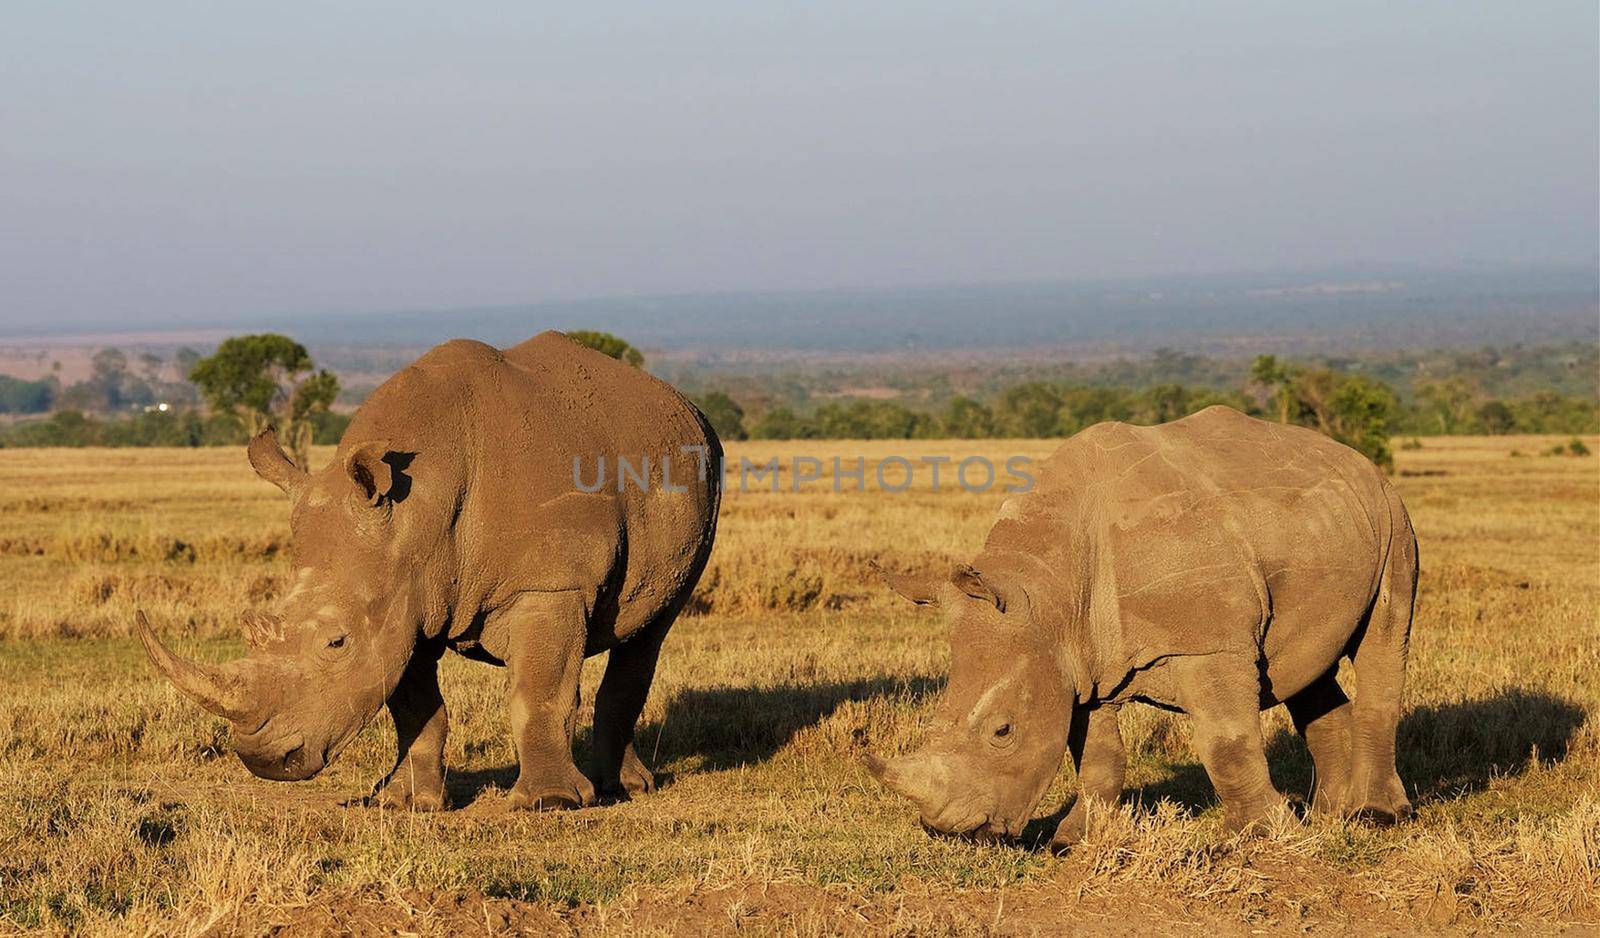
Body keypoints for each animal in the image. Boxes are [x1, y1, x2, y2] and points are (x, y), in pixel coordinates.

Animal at [137, 332, 726, 806]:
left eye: (337, 643)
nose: (264, 761)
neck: (417, 510)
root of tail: (683, 403)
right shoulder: (400, 595)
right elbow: (412, 704)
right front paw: (404, 802)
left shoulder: (550, 584)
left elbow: (538, 692)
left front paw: (549, 803)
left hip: (704, 469)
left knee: (649, 632)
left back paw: (625, 790)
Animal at [870, 404, 1420, 845]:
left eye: (1003, 731)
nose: (946, 831)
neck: (1050, 591)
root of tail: (1357, 459)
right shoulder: (1081, 660)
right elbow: (1097, 757)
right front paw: (1073, 842)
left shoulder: (1209, 645)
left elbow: (1226, 741)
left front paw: (1262, 835)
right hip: (1321, 524)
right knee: (1307, 668)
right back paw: (1330, 816)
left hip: (1393, 516)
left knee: (1382, 641)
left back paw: (1376, 817)